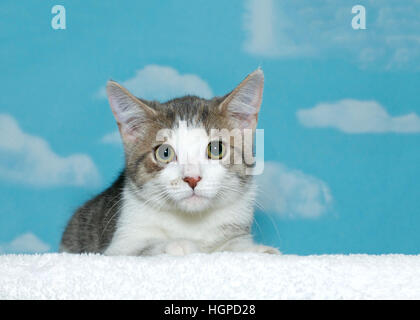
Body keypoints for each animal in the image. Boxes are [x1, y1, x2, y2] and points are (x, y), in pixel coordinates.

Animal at [59, 69, 278, 256]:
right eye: (165, 152)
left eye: (216, 149)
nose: (192, 178)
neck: (192, 220)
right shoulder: (119, 243)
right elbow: (142, 249)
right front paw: (179, 245)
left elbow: (233, 245)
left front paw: (257, 250)